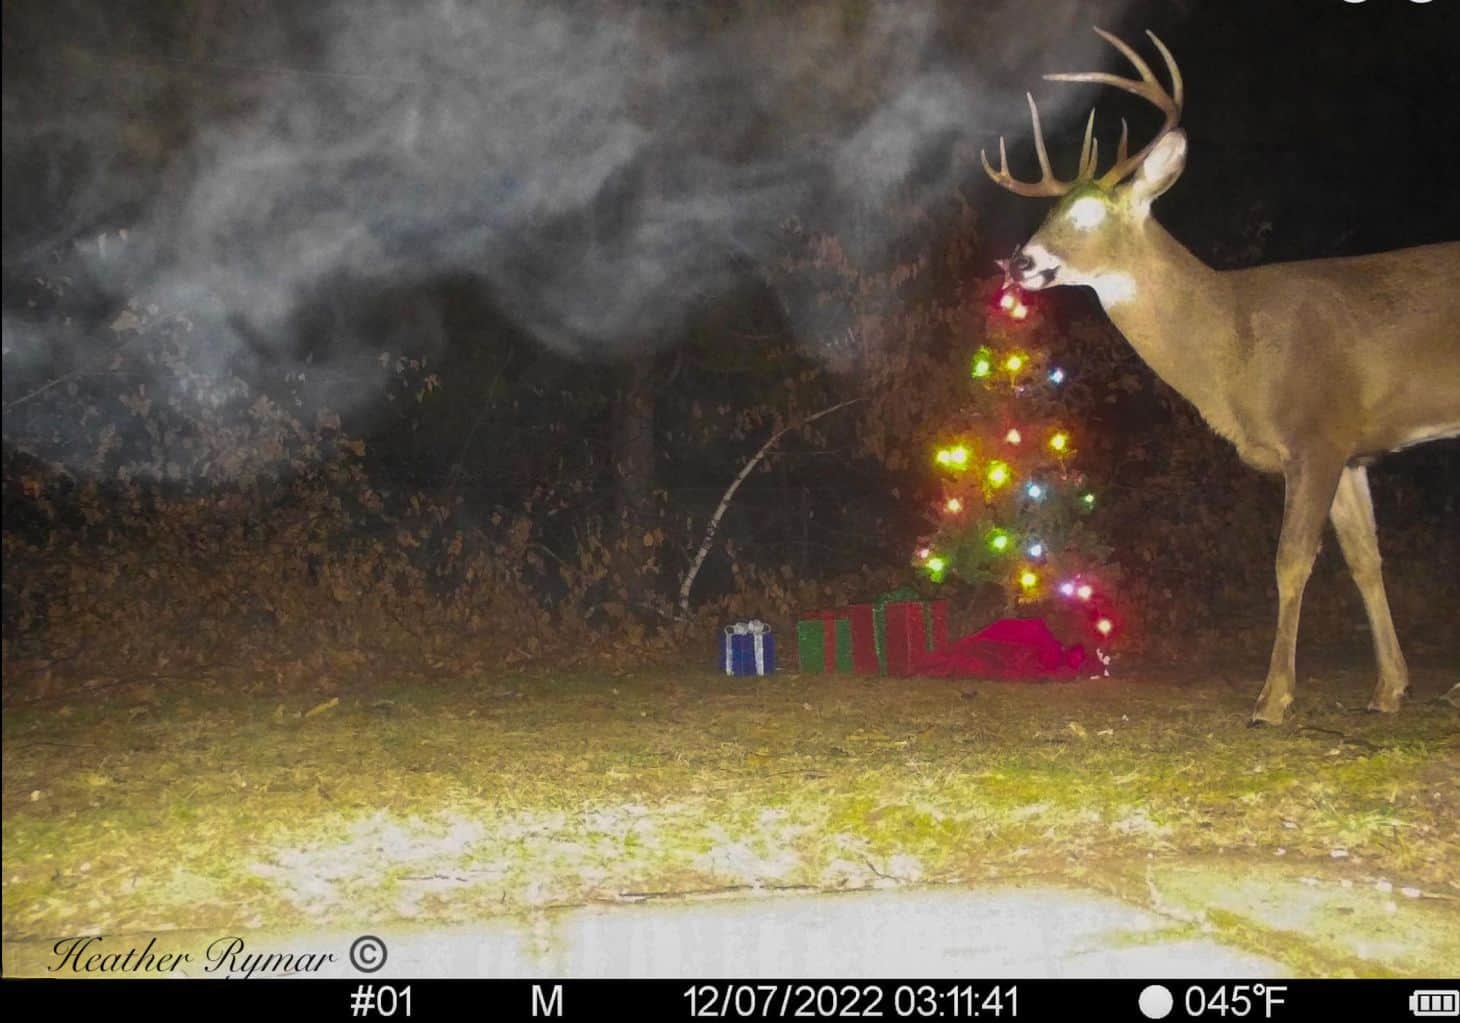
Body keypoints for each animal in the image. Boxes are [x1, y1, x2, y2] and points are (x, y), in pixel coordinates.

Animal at [982, 28, 1460, 725]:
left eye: (1091, 215)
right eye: (1052, 213)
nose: (1018, 263)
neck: (1238, 344)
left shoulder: (1317, 435)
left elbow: (1291, 560)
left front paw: (1273, 698)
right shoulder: (1352, 452)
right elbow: (1367, 560)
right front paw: (1389, 689)